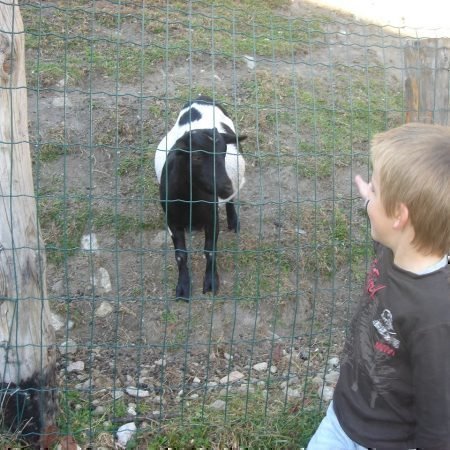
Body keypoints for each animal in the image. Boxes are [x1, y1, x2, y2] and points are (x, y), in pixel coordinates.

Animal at [155, 96, 246, 298]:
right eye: (196, 157)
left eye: (223, 152)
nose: (226, 187)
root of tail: (201, 98)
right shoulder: (172, 221)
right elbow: (180, 255)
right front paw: (183, 287)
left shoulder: (212, 218)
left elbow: (210, 250)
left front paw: (211, 281)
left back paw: (233, 220)